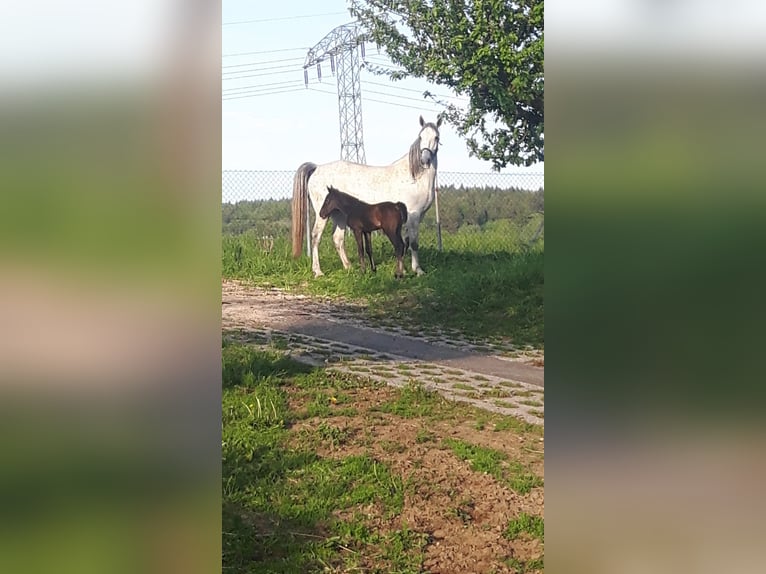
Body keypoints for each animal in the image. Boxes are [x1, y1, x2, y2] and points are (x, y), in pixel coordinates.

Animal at [292, 116, 440, 278]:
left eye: (436, 137)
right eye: (420, 137)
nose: (425, 160)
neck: (414, 176)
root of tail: (317, 168)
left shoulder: (417, 217)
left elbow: (406, 242)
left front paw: (406, 269)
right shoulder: (413, 215)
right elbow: (413, 243)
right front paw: (418, 270)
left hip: (338, 215)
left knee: (338, 238)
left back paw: (348, 267)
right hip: (323, 214)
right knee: (315, 237)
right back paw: (318, 271)